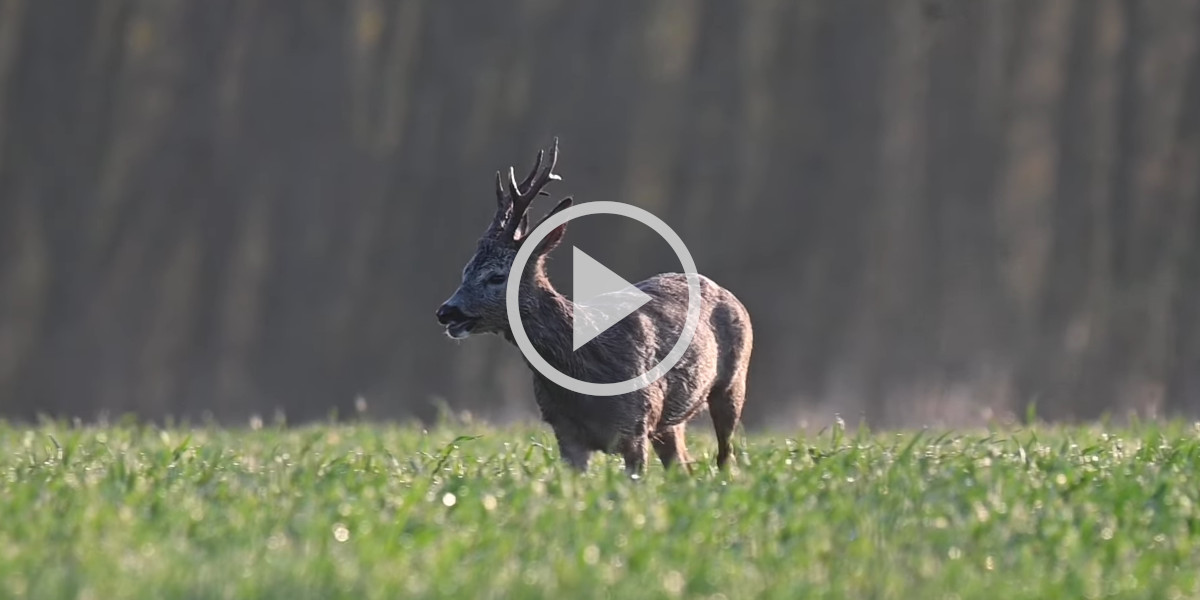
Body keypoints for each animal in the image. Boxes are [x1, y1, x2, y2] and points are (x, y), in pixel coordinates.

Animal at [434, 138, 748, 475]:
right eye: (465, 271)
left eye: (496, 276)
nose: (446, 312)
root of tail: (724, 291)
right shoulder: (565, 433)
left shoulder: (636, 423)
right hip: (669, 423)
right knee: (682, 464)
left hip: (732, 384)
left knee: (725, 456)